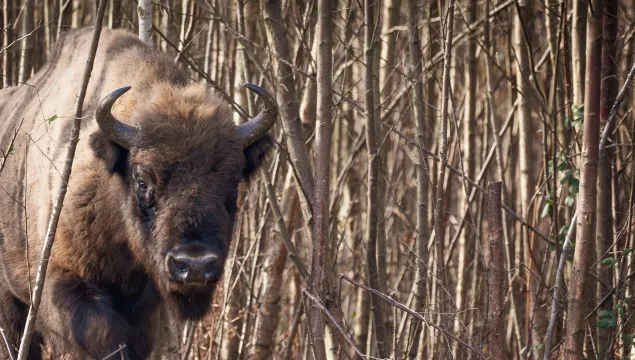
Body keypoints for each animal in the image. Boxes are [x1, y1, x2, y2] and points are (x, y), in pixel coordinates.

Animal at [0, 26, 278, 358]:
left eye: (233, 183)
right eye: (143, 181)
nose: (195, 265)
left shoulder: (145, 308)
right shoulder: (58, 277)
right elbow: (101, 334)